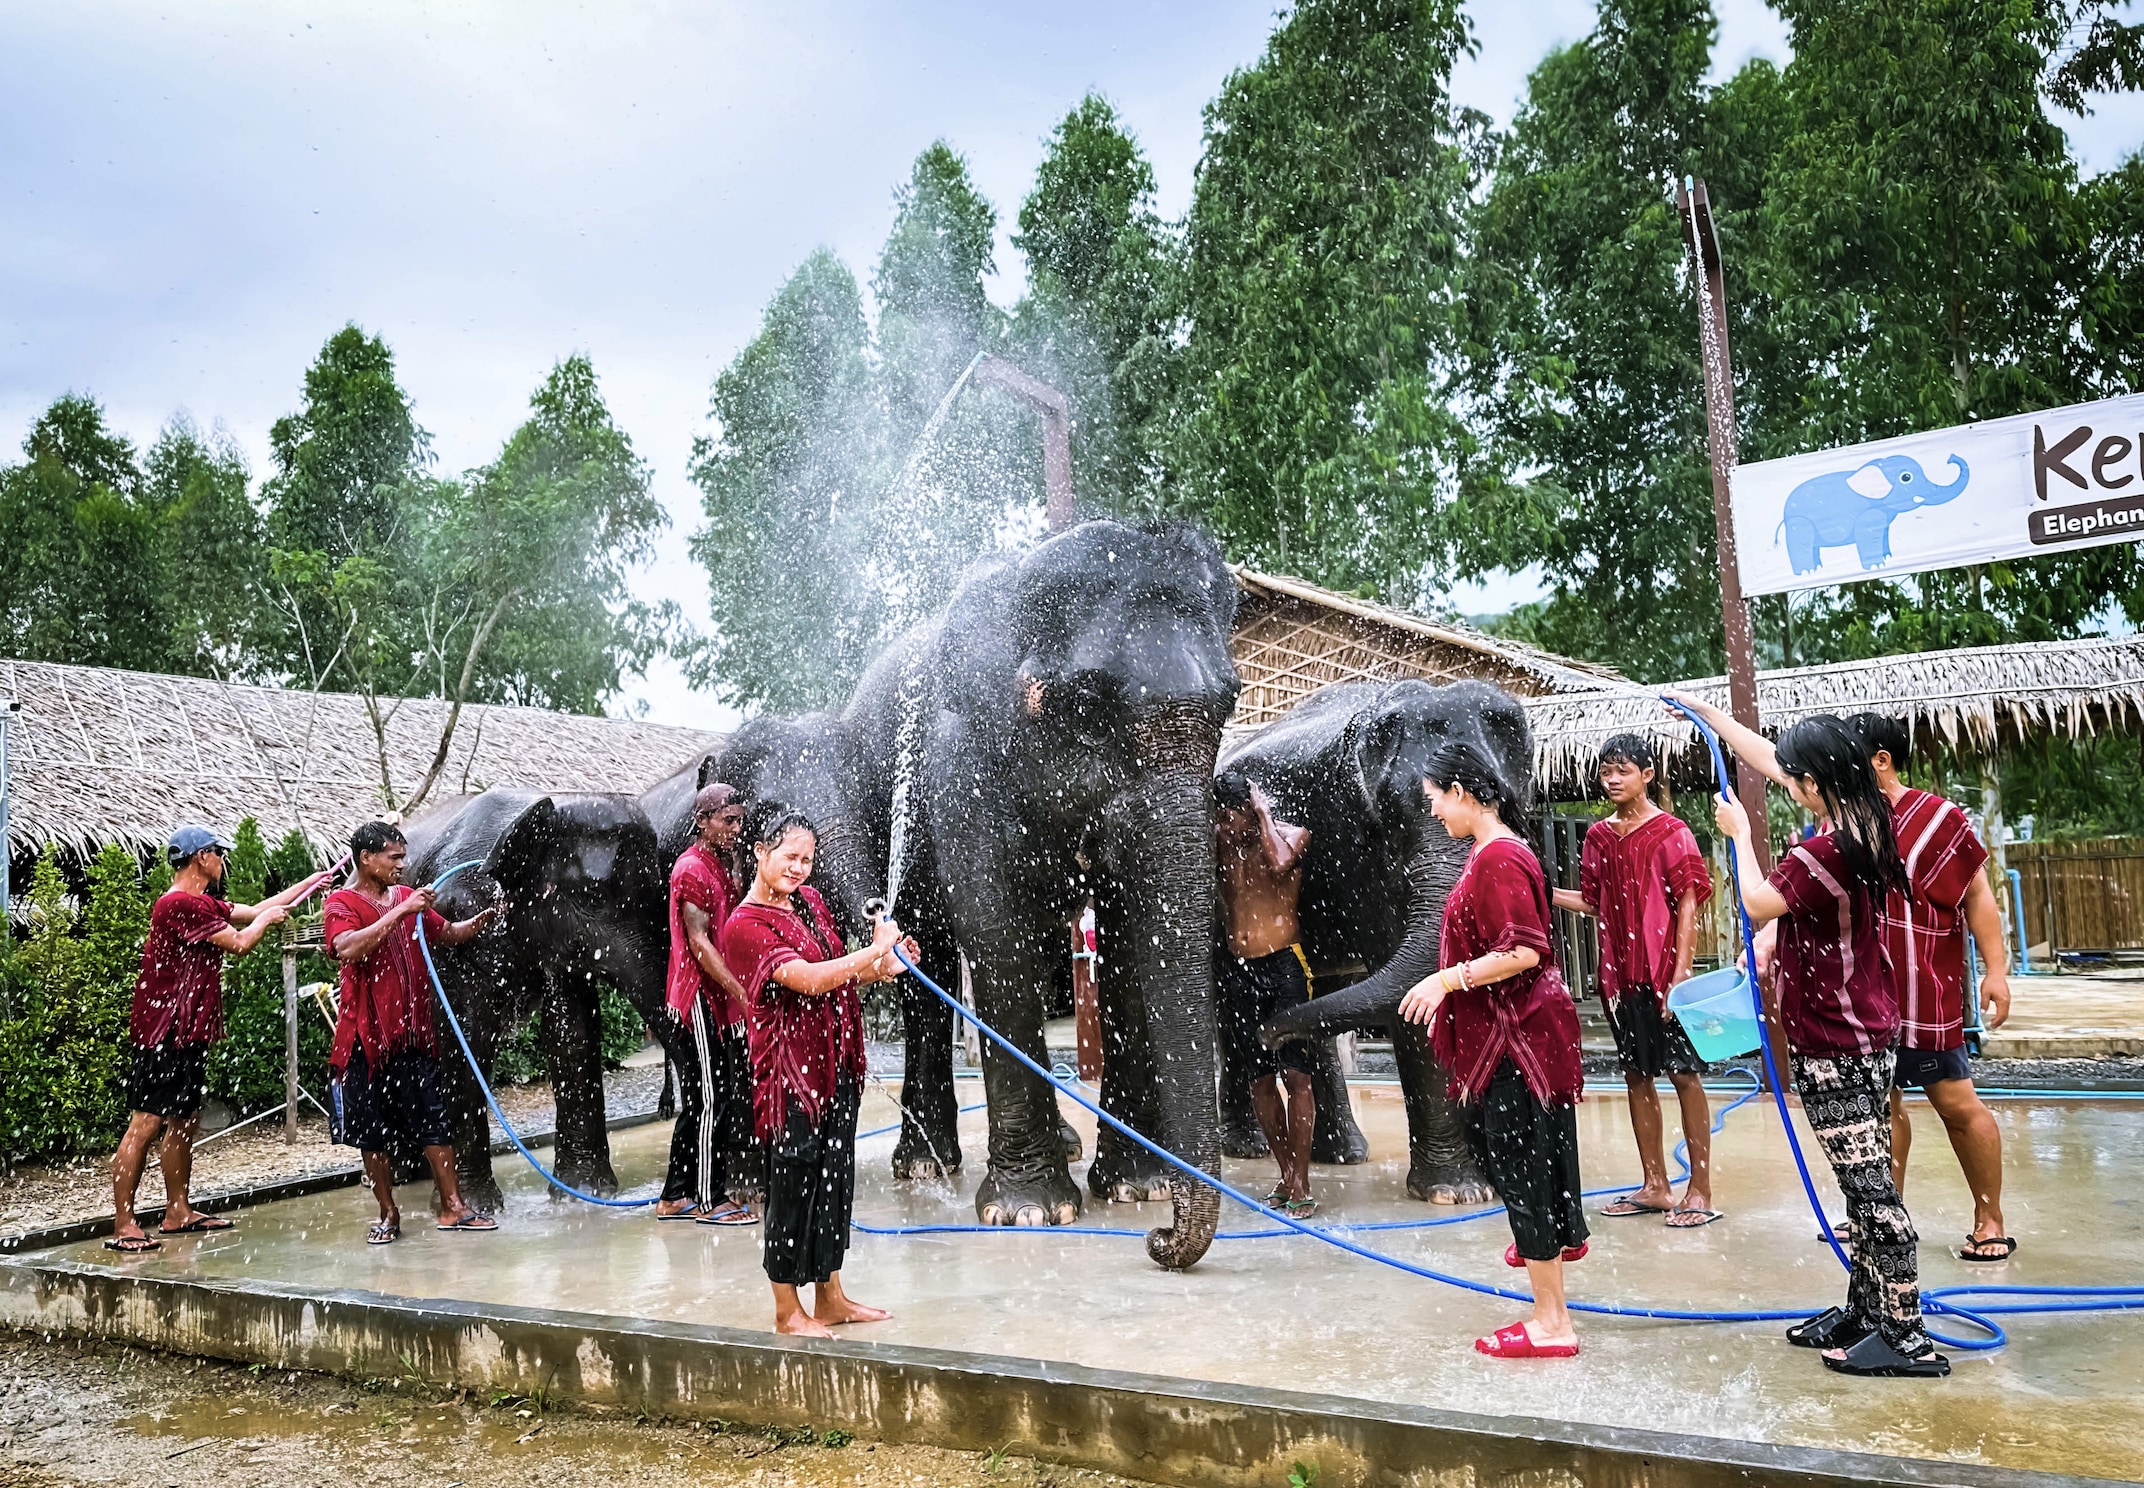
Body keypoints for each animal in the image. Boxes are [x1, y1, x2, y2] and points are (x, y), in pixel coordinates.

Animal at [398, 793, 673, 1209]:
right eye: (593, 897)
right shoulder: (450, 927)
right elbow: (466, 1036)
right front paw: (474, 1209)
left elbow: (571, 1035)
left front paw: (584, 1195)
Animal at [836, 521, 1243, 1269]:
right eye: (1084, 704)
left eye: (1229, 701)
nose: (1160, 1242)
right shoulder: (957, 759)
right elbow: (1000, 933)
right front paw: (1030, 1214)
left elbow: (1124, 938)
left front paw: (1136, 1190)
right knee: (926, 957)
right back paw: (928, 1166)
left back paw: (1065, 1147)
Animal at [1226, 681, 1543, 1209]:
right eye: (1390, 818)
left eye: (1502, 797)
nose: (1271, 1035)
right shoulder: (1363, 864)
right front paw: (1454, 1193)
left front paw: (1495, 1184)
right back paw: (1248, 1147)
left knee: (1323, 997)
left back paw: (1343, 1155)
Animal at [1775, 454, 1972, 578]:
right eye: (1906, 477)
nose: (1950, 458)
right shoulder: (1870, 514)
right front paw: (1877, 566)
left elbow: (1883, 531)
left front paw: (1887, 558)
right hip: (1799, 523)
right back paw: (1807, 572)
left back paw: (1817, 568)